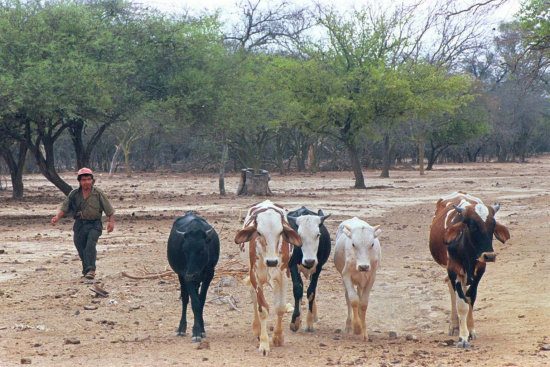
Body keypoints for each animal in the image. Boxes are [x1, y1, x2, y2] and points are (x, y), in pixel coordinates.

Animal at [167, 211, 221, 344]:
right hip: (181, 276)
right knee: (185, 299)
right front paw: (196, 332)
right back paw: (181, 329)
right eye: (184, 250)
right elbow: (195, 302)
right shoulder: (186, 276)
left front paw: (201, 330)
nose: (191, 274)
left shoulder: (209, 274)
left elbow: (201, 301)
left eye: (201, 250)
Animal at [233, 201, 302, 356]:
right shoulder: (255, 276)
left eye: (280, 232)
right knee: (253, 296)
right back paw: (257, 328)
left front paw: (277, 336)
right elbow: (262, 309)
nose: (272, 261)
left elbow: (280, 307)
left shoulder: (283, 276)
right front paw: (264, 343)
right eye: (259, 233)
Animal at [432, 191, 512, 350]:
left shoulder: (479, 270)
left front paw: (470, 330)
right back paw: (454, 325)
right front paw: (463, 337)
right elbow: (461, 303)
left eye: (493, 224)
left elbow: (470, 298)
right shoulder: (454, 269)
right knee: (452, 289)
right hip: (451, 270)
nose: (489, 256)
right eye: (473, 225)